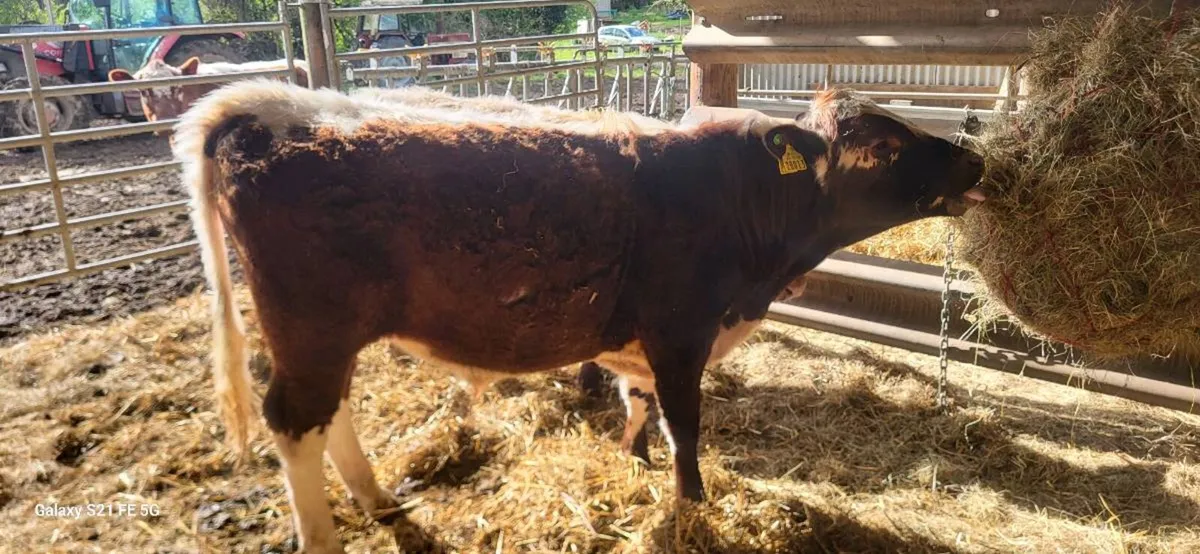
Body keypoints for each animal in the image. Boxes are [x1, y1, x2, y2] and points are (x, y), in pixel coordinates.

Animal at [172, 81, 986, 553]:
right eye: (884, 143)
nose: (976, 159)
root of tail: (267, 105)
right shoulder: (681, 328)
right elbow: (685, 423)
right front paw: (692, 507)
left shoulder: (645, 340)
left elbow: (640, 402)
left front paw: (633, 462)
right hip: (311, 326)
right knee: (294, 423)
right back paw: (324, 535)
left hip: (327, 336)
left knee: (329, 412)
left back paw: (375, 498)